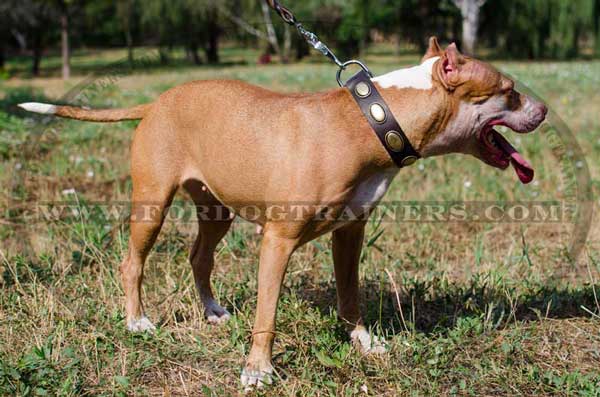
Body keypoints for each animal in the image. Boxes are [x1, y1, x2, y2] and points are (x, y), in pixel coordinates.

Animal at [18, 38, 548, 386]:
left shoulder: (349, 233)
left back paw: (212, 311)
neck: (374, 120)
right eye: (510, 90)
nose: (543, 110)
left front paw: (363, 342)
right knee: (133, 262)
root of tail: (155, 102)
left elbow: (350, 294)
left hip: (216, 209)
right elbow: (267, 311)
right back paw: (136, 322)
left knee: (199, 257)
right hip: (152, 203)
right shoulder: (278, 240)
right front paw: (258, 369)